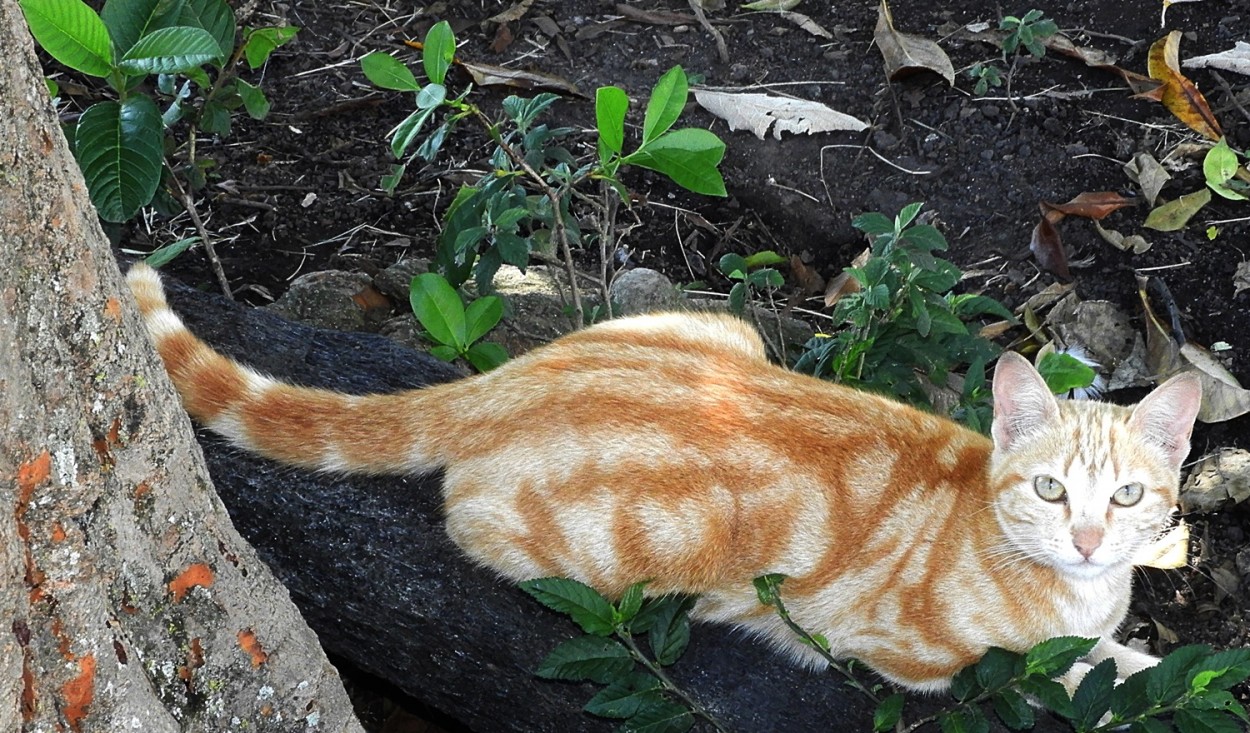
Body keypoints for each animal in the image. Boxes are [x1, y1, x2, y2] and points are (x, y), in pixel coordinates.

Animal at [124, 262, 1200, 690]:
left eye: (1128, 496)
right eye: (1050, 491)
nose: (1088, 539)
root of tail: (525, 371)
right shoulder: (914, 656)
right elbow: (1072, 670)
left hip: (723, 331)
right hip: (646, 546)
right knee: (463, 512)